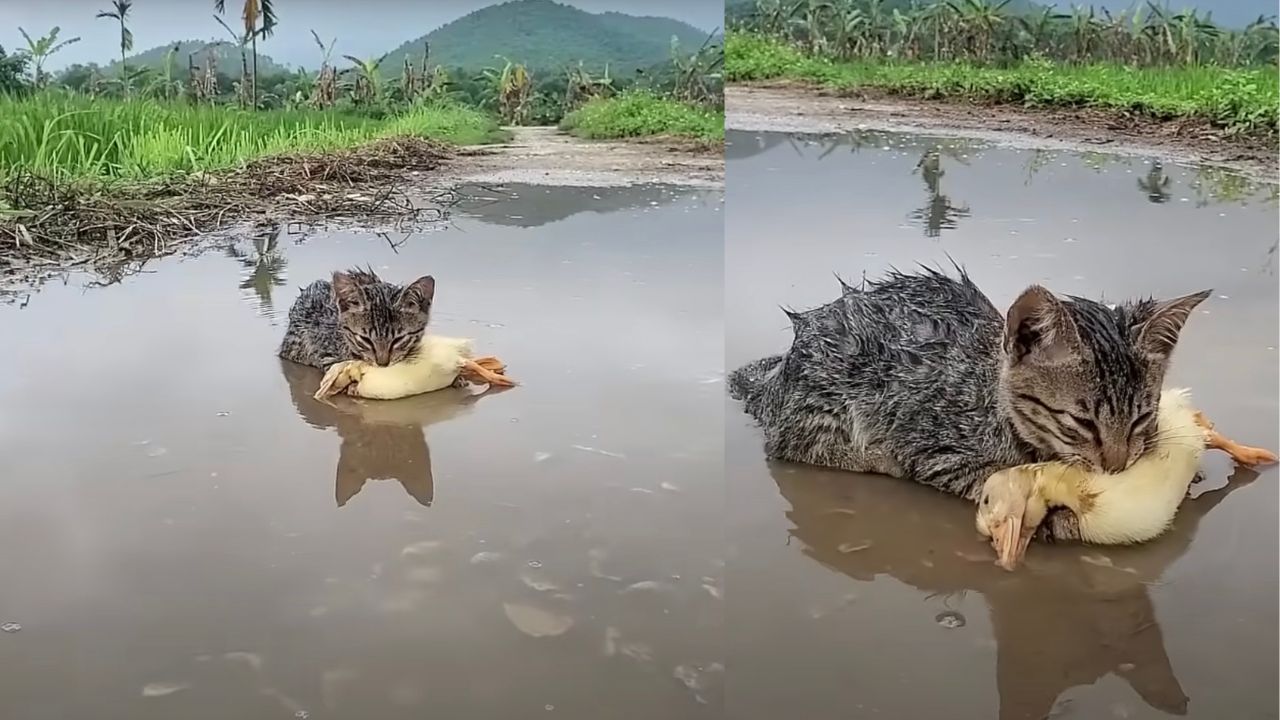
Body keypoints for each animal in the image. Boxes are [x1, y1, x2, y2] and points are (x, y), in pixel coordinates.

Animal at [732, 266, 1208, 535]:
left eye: (1141, 418)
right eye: (1082, 423)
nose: (1117, 467)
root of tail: (777, 379)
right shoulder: (933, 447)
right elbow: (985, 476)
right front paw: (1055, 514)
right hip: (821, 408)